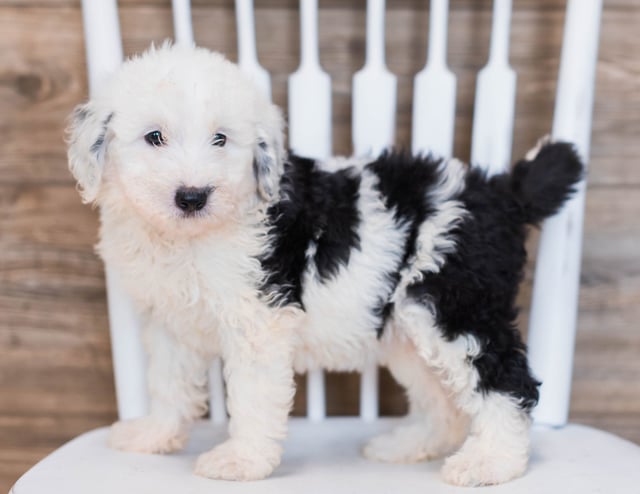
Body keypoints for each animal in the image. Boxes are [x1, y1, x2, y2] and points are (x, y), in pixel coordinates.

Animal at [67, 44, 584, 488]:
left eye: (221, 139)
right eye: (154, 137)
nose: (193, 196)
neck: (190, 238)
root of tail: (503, 192)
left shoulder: (259, 319)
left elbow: (251, 396)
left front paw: (242, 461)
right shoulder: (168, 321)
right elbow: (167, 383)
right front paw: (154, 435)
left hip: (455, 304)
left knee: (507, 381)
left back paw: (491, 463)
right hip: (407, 331)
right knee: (442, 399)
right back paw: (408, 445)